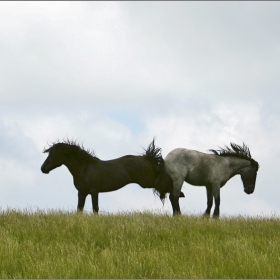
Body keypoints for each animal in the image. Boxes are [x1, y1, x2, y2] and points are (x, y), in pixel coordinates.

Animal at [40, 139, 174, 213]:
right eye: (49, 153)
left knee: (163, 182)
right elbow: (79, 208)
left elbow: (95, 208)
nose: (43, 169)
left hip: (147, 182)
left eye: (55, 154)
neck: (85, 168)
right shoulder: (82, 192)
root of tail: (146, 158)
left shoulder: (94, 191)